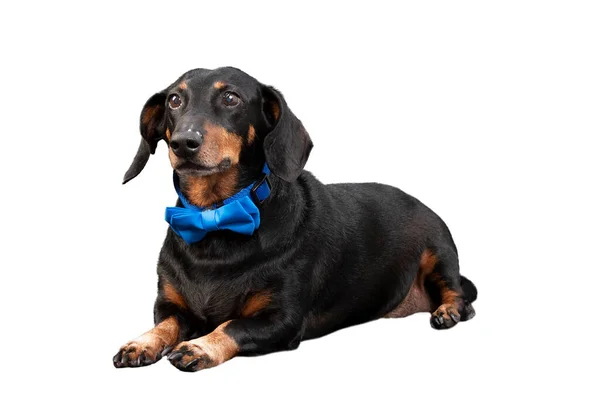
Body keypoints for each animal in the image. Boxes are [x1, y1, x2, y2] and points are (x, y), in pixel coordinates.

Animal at [112, 66, 478, 370]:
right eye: (174, 100)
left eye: (231, 97)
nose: (183, 142)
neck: (214, 217)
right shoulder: (169, 307)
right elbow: (166, 325)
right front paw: (141, 343)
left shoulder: (281, 321)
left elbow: (232, 325)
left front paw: (200, 346)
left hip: (439, 252)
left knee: (459, 293)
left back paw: (448, 311)